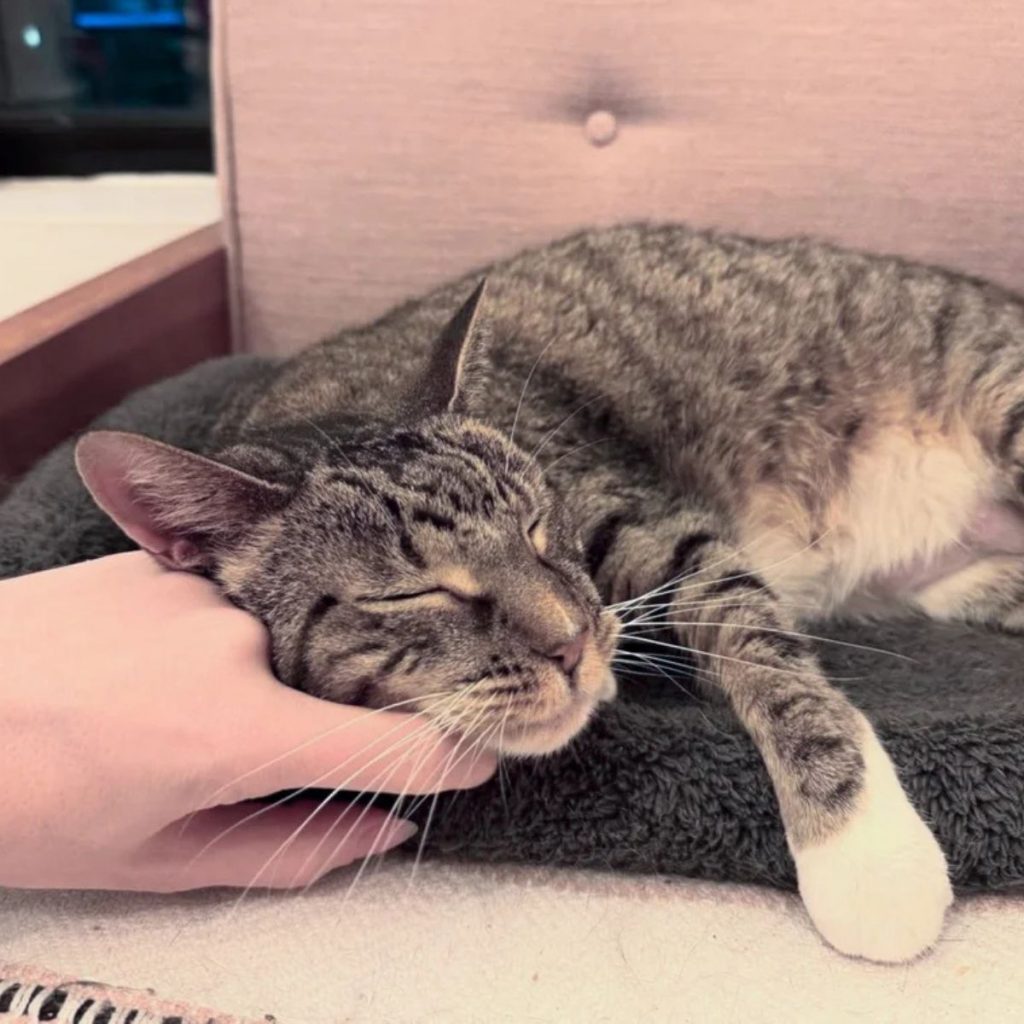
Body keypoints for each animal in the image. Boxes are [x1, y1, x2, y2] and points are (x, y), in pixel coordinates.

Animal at [75, 222, 1024, 958]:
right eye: (414, 595)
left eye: (537, 524)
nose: (572, 643)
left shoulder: (663, 530)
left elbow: (772, 663)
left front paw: (863, 854)